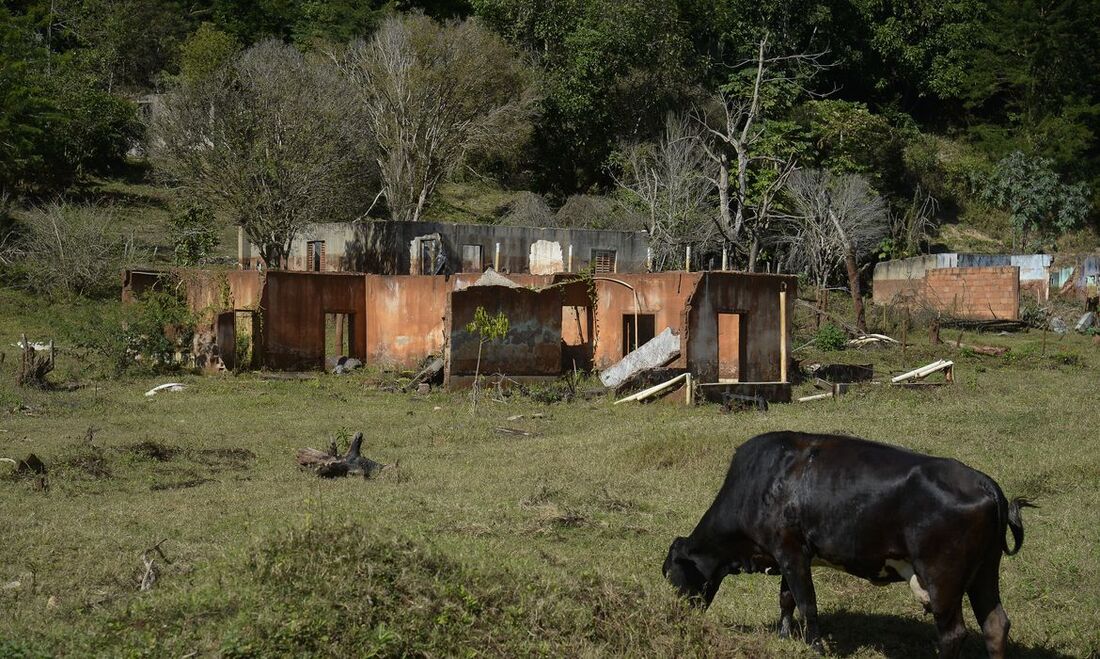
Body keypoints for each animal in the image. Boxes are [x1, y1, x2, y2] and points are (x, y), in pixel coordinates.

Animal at [664, 431, 1034, 655]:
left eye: (672, 576)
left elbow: (807, 604)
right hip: (984, 572)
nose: (678, 617)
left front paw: (815, 647)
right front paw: (784, 637)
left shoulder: (791, 552)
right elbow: (786, 599)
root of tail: (986, 484)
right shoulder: (789, 555)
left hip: (942, 577)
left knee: (952, 634)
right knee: (995, 625)